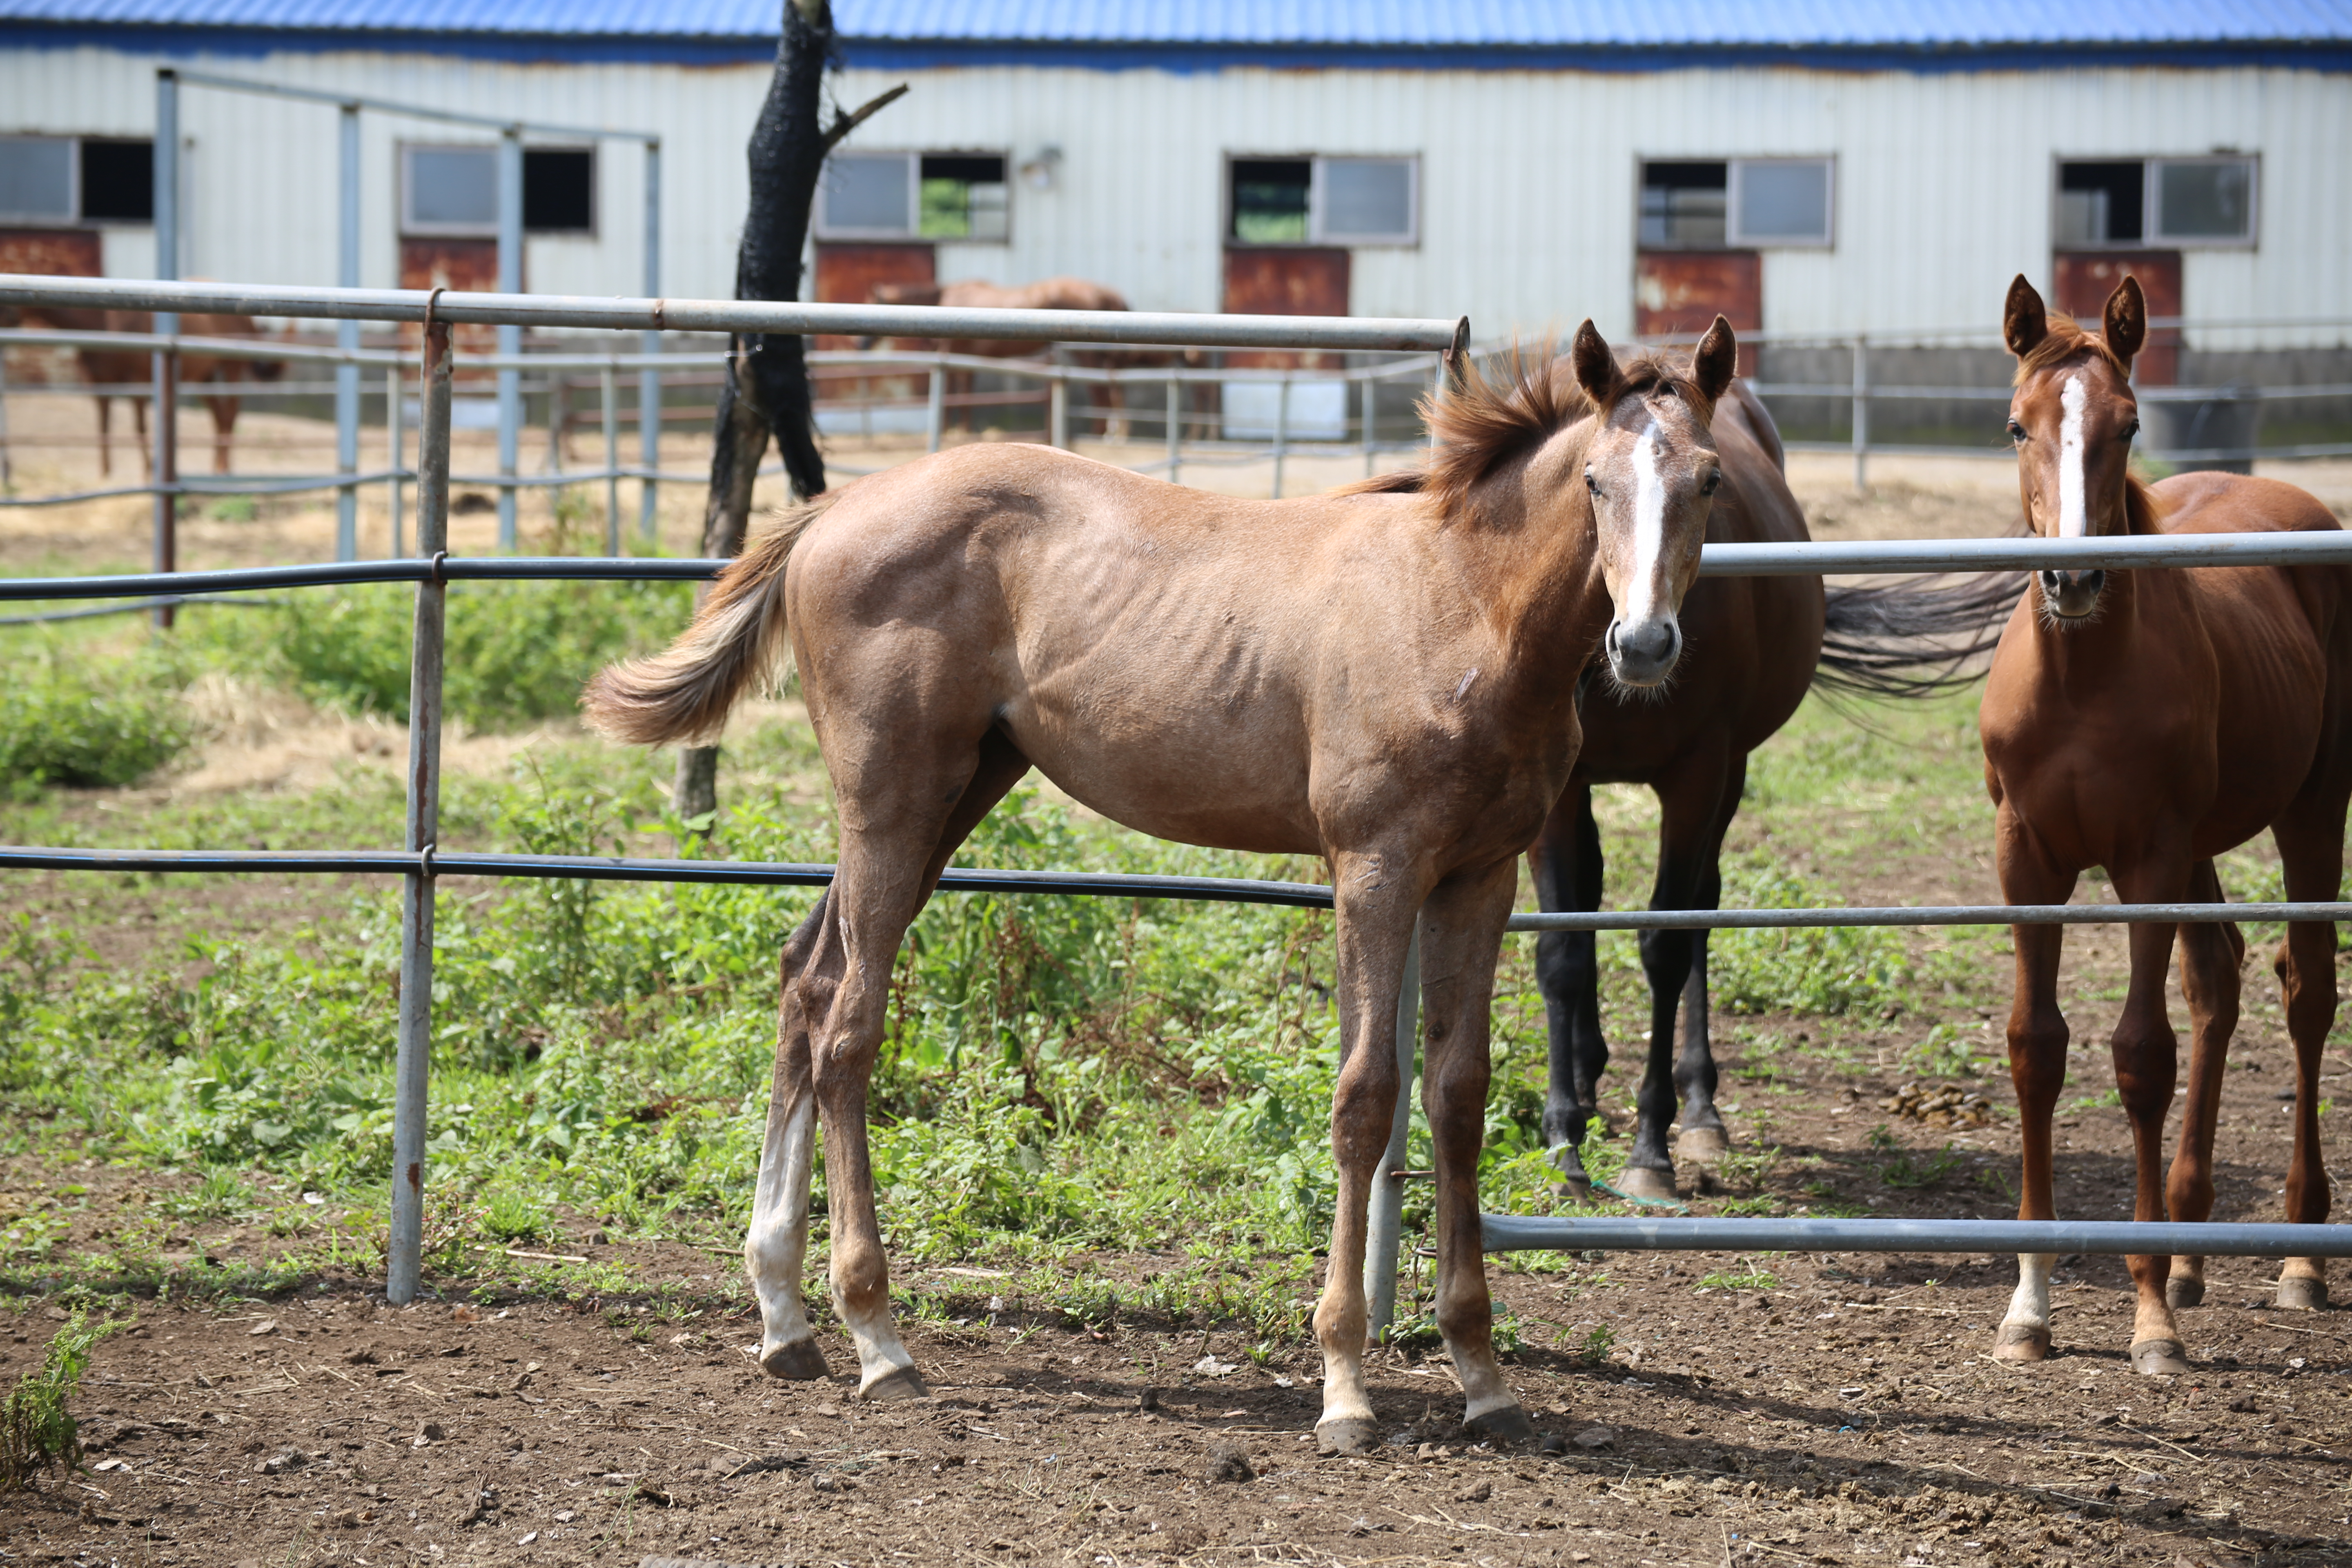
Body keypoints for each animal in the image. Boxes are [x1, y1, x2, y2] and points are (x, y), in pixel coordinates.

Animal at [592, 319, 1750, 1457]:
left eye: (1705, 480)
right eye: (1595, 481)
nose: (1644, 643)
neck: (1462, 602)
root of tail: (838, 510)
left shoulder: (1479, 876)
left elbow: (1456, 1099)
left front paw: (1481, 1375)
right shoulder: (1374, 869)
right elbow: (1365, 1099)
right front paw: (1343, 1385)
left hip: (956, 793)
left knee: (805, 978)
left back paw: (784, 1317)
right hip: (892, 800)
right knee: (847, 1029)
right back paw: (878, 1336)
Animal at [1985, 276, 2352, 1382]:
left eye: (2129, 424)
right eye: (2015, 425)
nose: (2072, 583)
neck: (2078, 683)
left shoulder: (2144, 857)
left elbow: (2141, 1054)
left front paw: (2149, 1318)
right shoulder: (2028, 862)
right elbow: (2037, 1047)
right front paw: (2028, 1307)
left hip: (2309, 812)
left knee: (2304, 993)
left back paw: (2296, 1258)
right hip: (2200, 849)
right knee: (2220, 978)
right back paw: (2193, 1252)